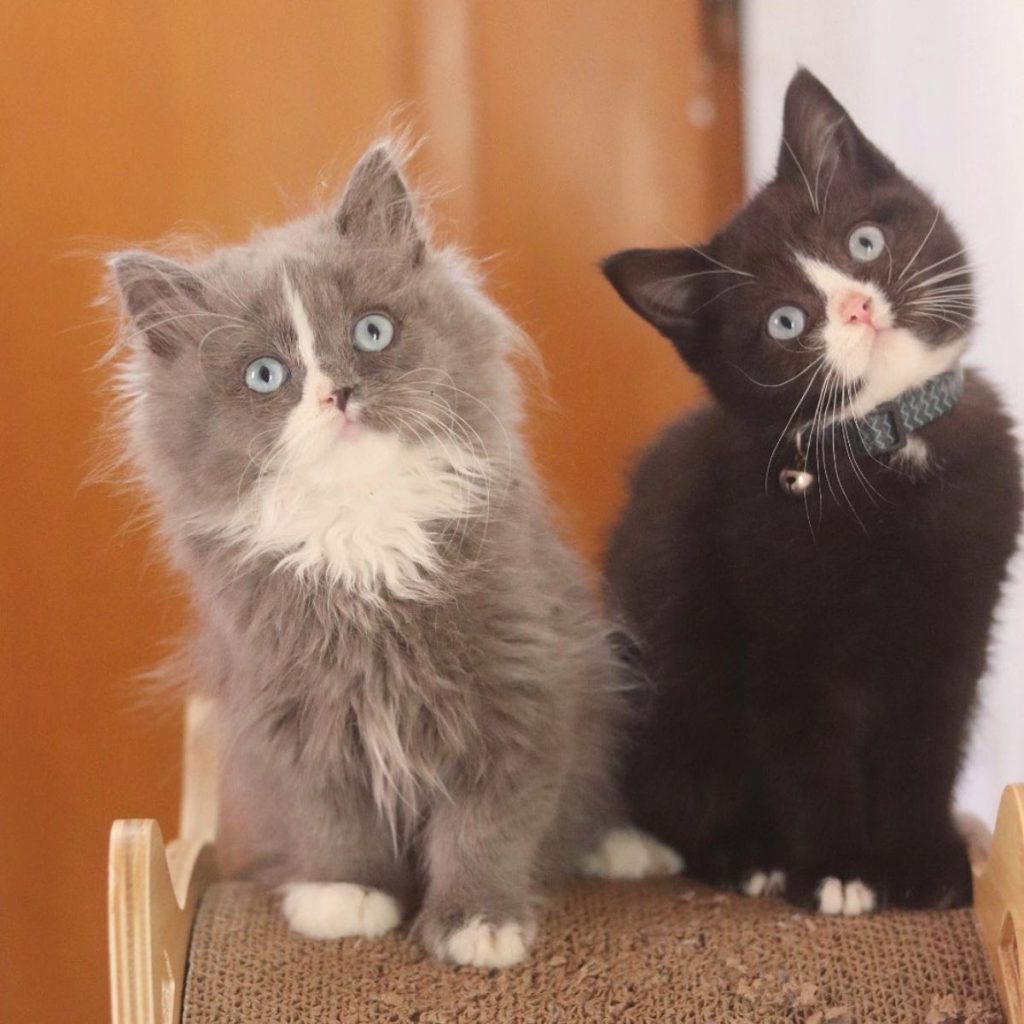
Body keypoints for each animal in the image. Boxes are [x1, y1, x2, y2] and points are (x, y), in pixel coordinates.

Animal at [110, 144, 679, 966]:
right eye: (264, 375)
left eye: (372, 332)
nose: (338, 394)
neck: (363, 532)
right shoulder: (292, 711)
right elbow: (329, 817)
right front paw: (343, 896)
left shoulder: (522, 683)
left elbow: (487, 823)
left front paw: (479, 922)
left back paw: (623, 848)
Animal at [602, 74, 1019, 921]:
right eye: (786, 321)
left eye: (863, 243)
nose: (856, 307)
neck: (887, 448)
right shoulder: (777, 629)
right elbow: (806, 751)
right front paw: (836, 870)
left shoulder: (960, 622)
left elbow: (928, 746)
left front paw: (925, 864)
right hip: (670, 693)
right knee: (683, 798)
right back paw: (748, 855)